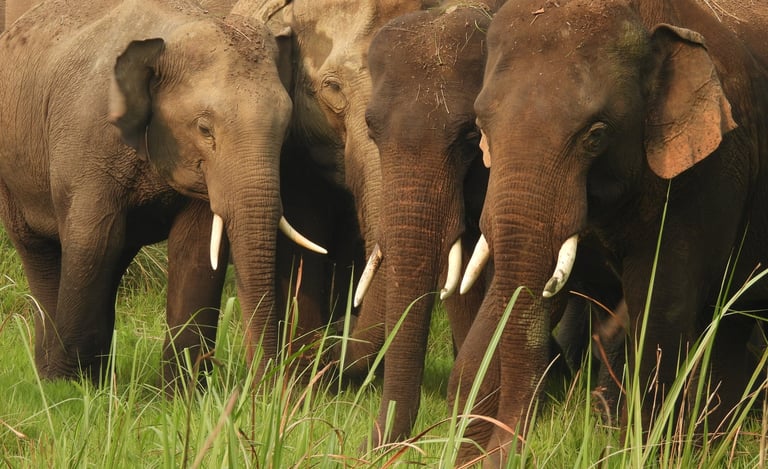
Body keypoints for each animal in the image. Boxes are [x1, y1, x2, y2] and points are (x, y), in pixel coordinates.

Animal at [0, 0, 323, 383]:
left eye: (286, 128)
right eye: (204, 129)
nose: (268, 387)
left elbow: (196, 250)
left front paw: (181, 392)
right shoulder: (87, 141)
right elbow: (94, 240)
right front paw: (69, 387)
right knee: (41, 252)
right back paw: (51, 379)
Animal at [451, 0, 768, 463]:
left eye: (596, 135)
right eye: (481, 127)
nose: (494, 453)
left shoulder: (709, 172)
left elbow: (659, 307)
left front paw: (644, 455)